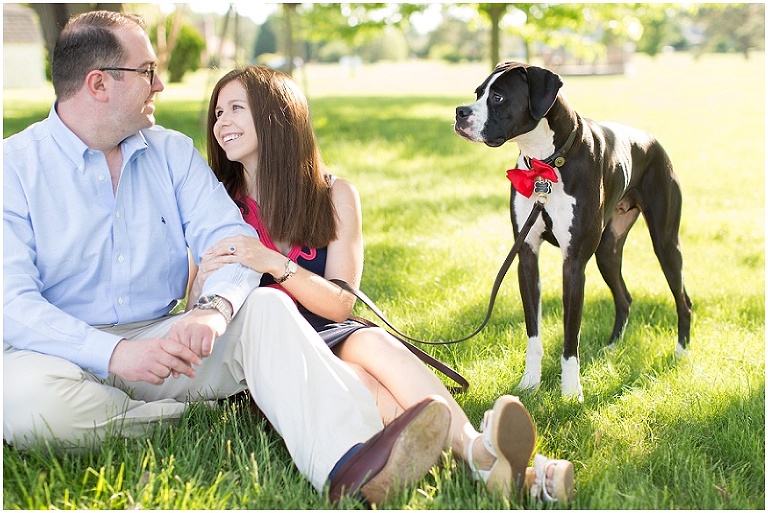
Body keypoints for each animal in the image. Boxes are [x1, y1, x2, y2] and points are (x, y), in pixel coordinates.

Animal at [452, 61, 692, 400]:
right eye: (477, 93)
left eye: (497, 97)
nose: (460, 112)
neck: (547, 164)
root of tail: (651, 140)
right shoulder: (527, 257)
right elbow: (533, 332)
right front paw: (530, 383)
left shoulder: (574, 263)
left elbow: (570, 336)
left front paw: (570, 392)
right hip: (607, 252)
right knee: (624, 298)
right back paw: (611, 348)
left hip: (666, 244)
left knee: (683, 300)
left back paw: (681, 352)